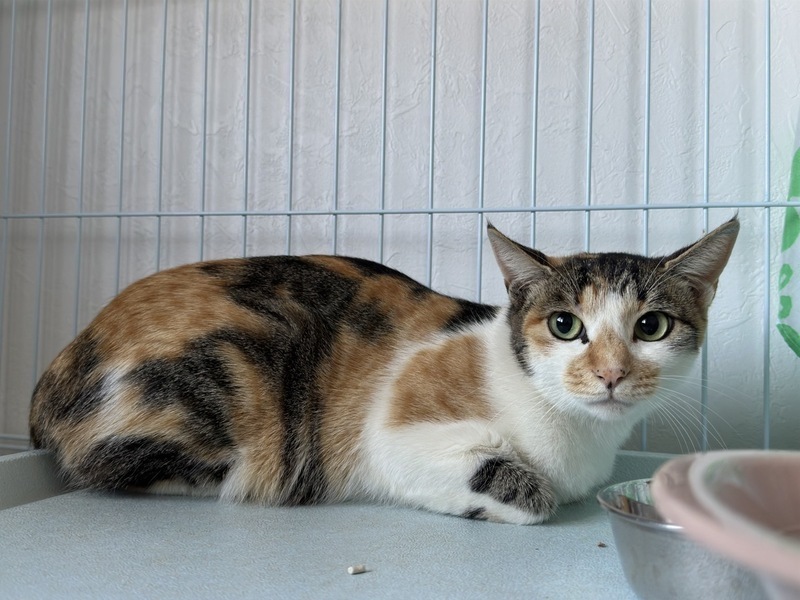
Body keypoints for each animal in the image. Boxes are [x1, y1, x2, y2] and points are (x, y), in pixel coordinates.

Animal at [29, 217, 739, 524]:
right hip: (241, 380)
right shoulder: (390, 431)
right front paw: (495, 498)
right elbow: (521, 490)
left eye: (652, 326)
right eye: (566, 325)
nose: (611, 374)